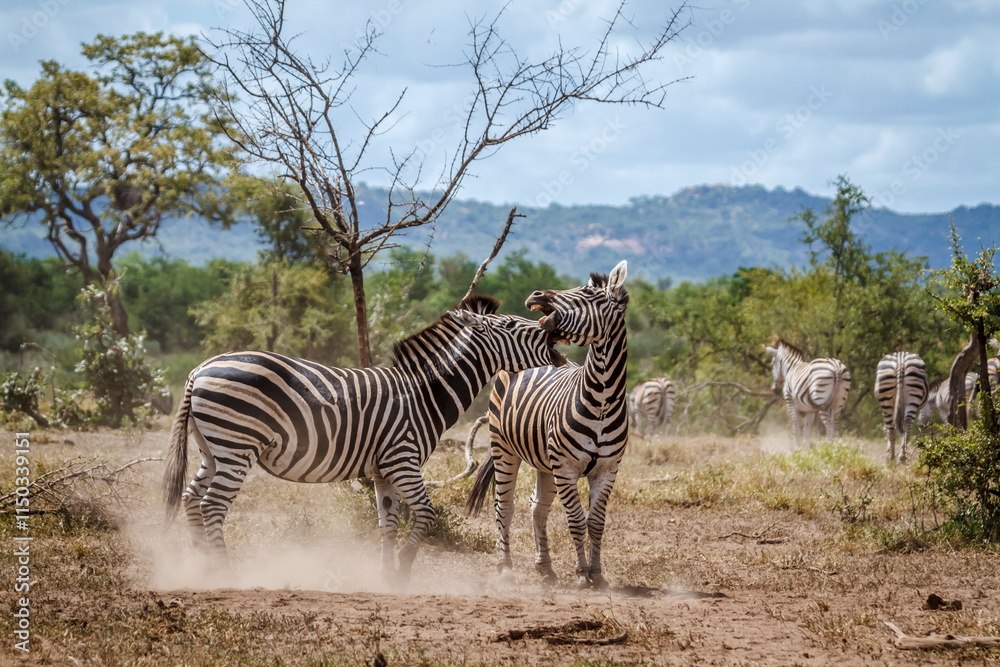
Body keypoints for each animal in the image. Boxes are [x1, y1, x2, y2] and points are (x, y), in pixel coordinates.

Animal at [163, 295, 593, 583]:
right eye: (513, 327)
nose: (552, 328)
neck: (423, 393)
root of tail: (199, 369)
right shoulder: (402, 458)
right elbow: (425, 513)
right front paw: (402, 569)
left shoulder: (383, 470)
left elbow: (387, 522)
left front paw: (386, 574)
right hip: (237, 446)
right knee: (212, 505)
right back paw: (224, 572)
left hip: (213, 448)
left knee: (191, 498)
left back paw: (200, 567)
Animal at [466, 261, 630, 589]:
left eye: (588, 294)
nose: (536, 294)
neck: (603, 398)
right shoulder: (566, 468)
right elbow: (576, 521)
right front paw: (581, 576)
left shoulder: (607, 470)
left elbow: (596, 522)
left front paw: (597, 575)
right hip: (504, 448)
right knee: (505, 505)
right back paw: (505, 568)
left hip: (545, 462)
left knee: (537, 507)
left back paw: (545, 568)